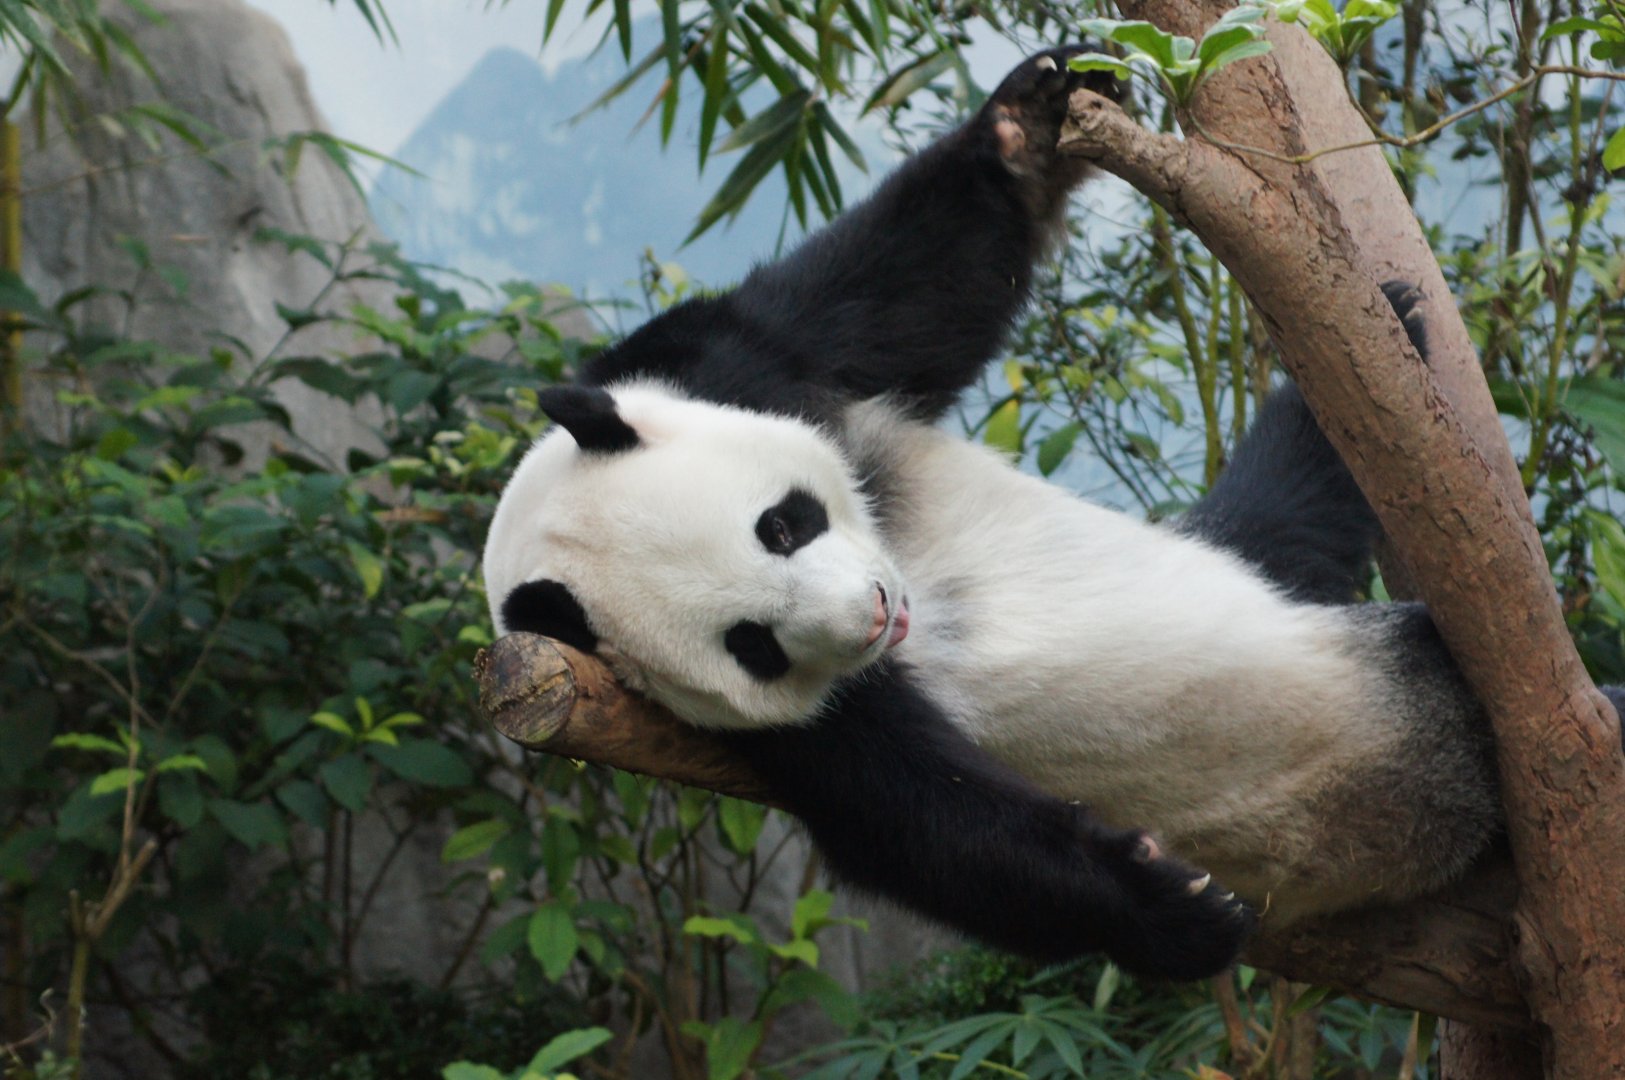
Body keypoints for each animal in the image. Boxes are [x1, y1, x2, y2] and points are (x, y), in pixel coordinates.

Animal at [483, 48, 1625, 979]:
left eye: (781, 525)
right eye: (751, 645)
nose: (876, 616)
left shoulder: (723, 365)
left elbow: (891, 290)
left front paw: (1023, 120)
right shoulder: (743, 732)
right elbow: (929, 823)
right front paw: (1175, 909)